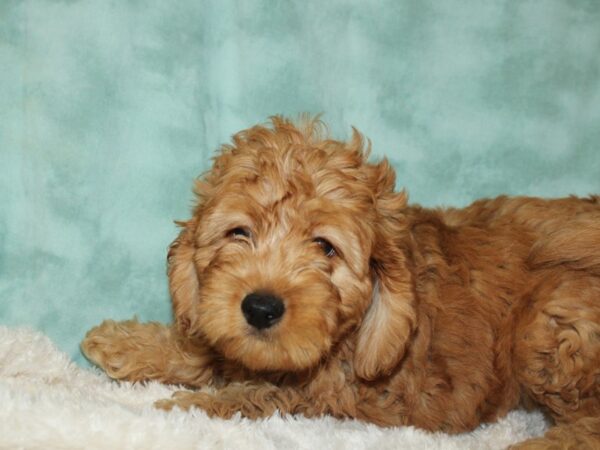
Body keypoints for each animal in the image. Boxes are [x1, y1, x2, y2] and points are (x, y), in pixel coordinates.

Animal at [83, 118, 600, 448]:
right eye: (239, 233)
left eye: (325, 247)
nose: (261, 307)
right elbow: (214, 350)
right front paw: (124, 342)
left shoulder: (360, 395)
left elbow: (266, 394)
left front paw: (182, 410)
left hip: (547, 326)